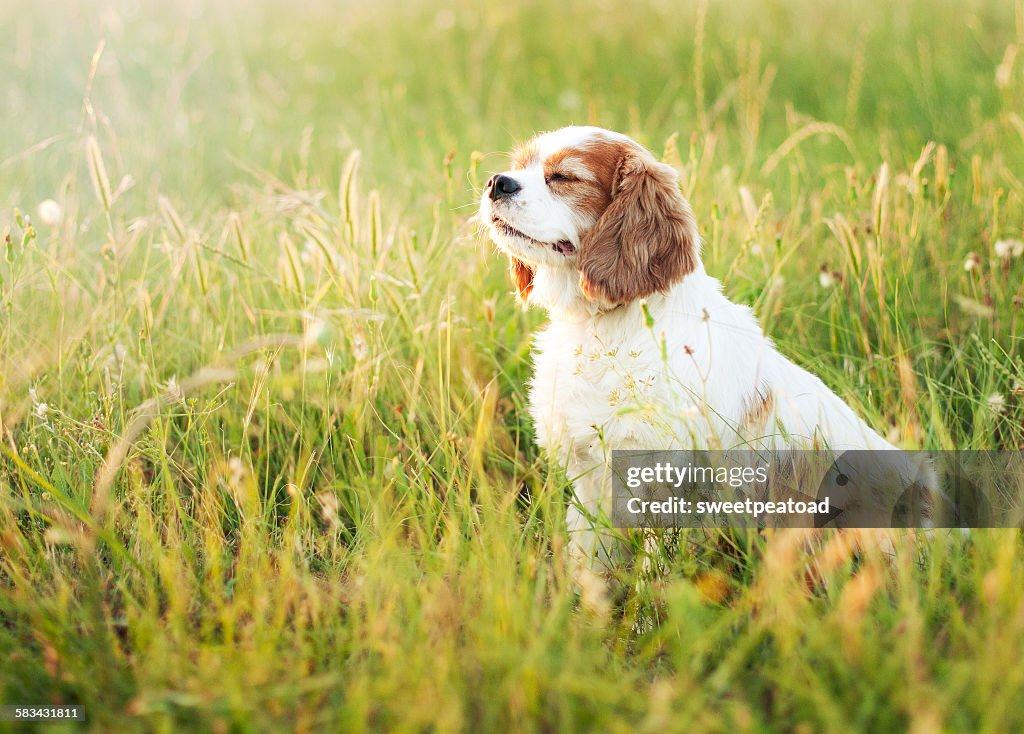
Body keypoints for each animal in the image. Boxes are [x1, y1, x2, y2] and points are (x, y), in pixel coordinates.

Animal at [479, 125, 937, 573]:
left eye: (563, 177)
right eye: (520, 165)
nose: (497, 182)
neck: (604, 325)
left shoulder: (665, 486)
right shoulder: (590, 480)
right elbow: (589, 561)